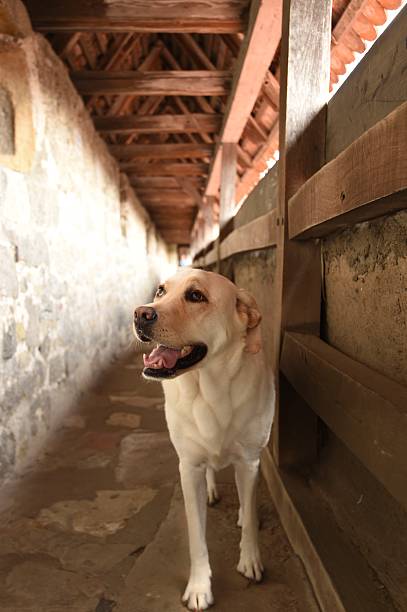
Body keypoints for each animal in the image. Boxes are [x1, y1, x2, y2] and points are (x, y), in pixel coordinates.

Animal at [134, 270, 278, 608]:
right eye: (160, 291)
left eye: (196, 296)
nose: (140, 313)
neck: (211, 388)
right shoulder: (189, 468)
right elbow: (196, 538)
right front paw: (199, 587)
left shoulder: (249, 461)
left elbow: (250, 516)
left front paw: (250, 559)